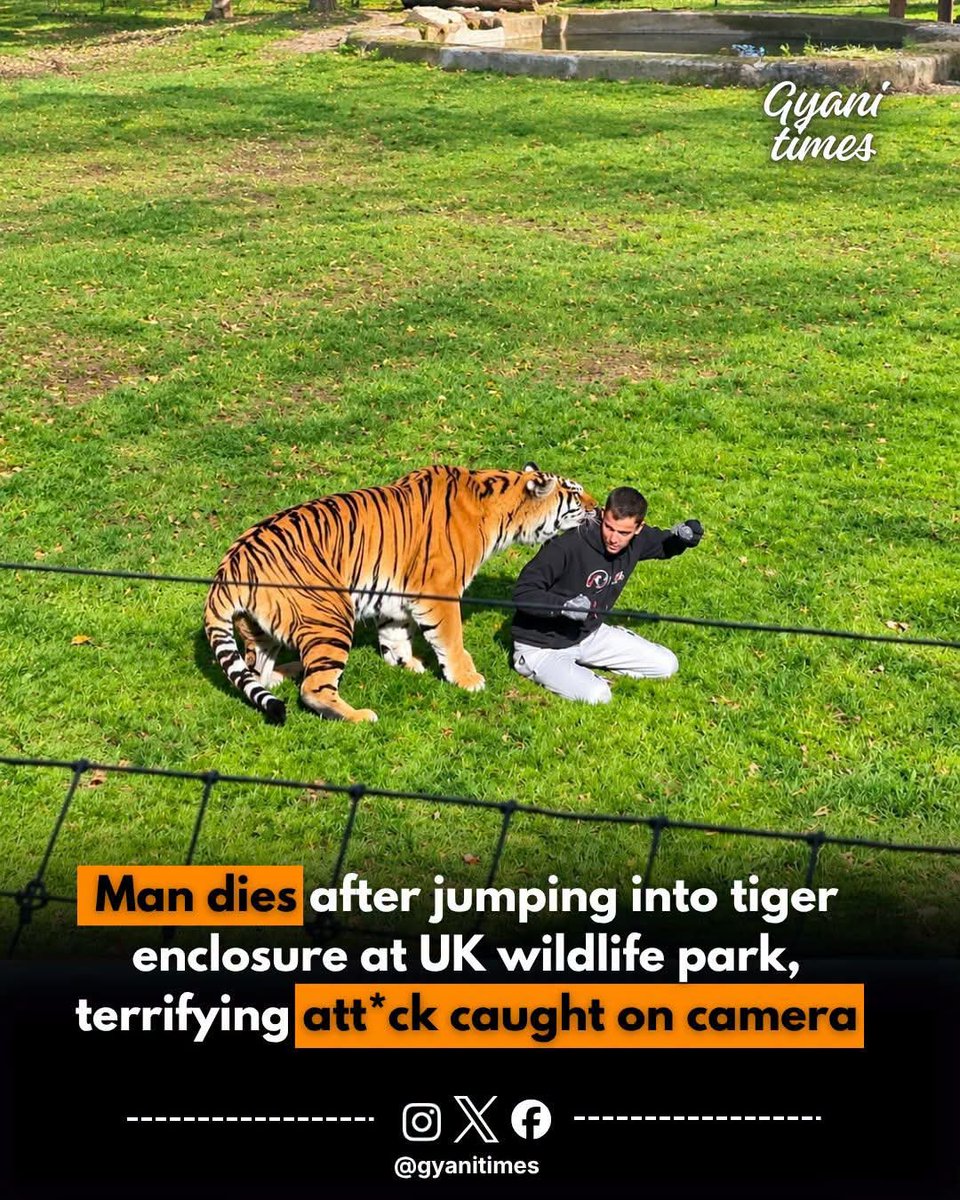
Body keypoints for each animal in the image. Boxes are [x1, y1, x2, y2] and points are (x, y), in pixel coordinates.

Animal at [203, 463, 595, 724]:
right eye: (575, 494)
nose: (596, 507)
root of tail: (231, 564)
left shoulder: (395, 594)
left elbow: (395, 634)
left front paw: (406, 664)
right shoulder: (439, 590)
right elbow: (451, 639)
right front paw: (467, 679)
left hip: (261, 629)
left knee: (258, 672)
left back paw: (287, 671)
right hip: (330, 615)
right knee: (313, 690)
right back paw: (359, 715)